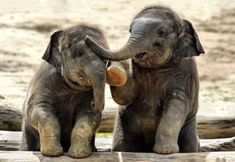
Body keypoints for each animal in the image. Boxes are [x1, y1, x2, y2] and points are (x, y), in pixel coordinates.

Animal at [20, 25, 109, 158]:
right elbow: (37, 108)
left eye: (106, 58)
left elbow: (89, 117)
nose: (94, 103)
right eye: (79, 53)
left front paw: (78, 155)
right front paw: (52, 153)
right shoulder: (43, 83)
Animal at [85, 6, 205, 153]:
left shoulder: (186, 74)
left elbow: (177, 104)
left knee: (190, 146)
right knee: (121, 146)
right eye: (130, 30)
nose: (87, 37)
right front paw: (118, 69)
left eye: (161, 32)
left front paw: (165, 151)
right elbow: (126, 96)